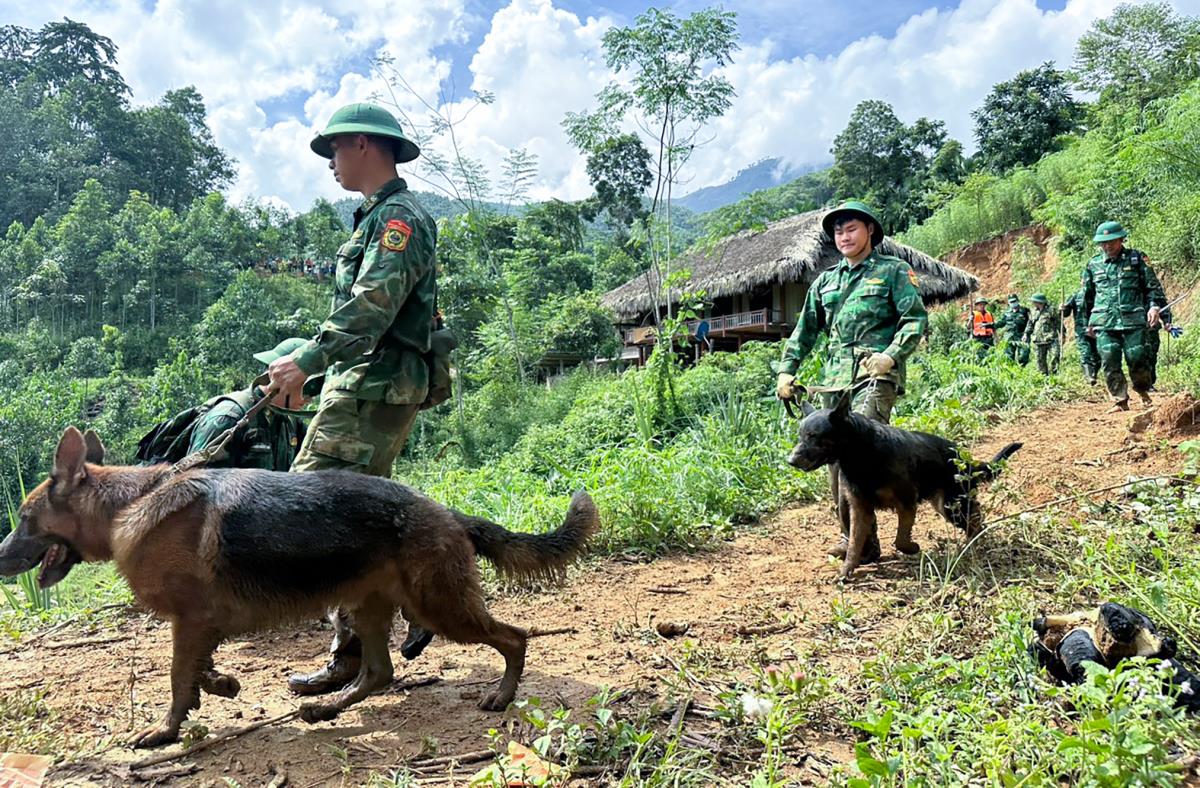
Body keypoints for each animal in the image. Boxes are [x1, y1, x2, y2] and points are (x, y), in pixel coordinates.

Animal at [0, 426, 600, 748]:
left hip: (441, 607)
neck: (129, 502)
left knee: (514, 638)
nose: (0, 558)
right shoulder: (200, 624)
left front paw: (167, 731)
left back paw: (501, 695)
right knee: (379, 673)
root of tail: (448, 513)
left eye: (24, 519)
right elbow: (196, 671)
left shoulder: (191, 621)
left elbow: (176, 680)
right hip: (368, 607)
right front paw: (221, 686)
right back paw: (326, 710)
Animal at [787, 400, 1022, 578]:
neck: (862, 454)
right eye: (800, 435)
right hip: (946, 506)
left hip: (952, 506)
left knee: (976, 522)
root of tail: (965, 459)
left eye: (813, 436)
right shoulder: (860, 509)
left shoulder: (906, 503)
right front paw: (847, 570)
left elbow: (900, 540)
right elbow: (854, 544)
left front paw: (912, 548)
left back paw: (972, 547)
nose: (789, 461)